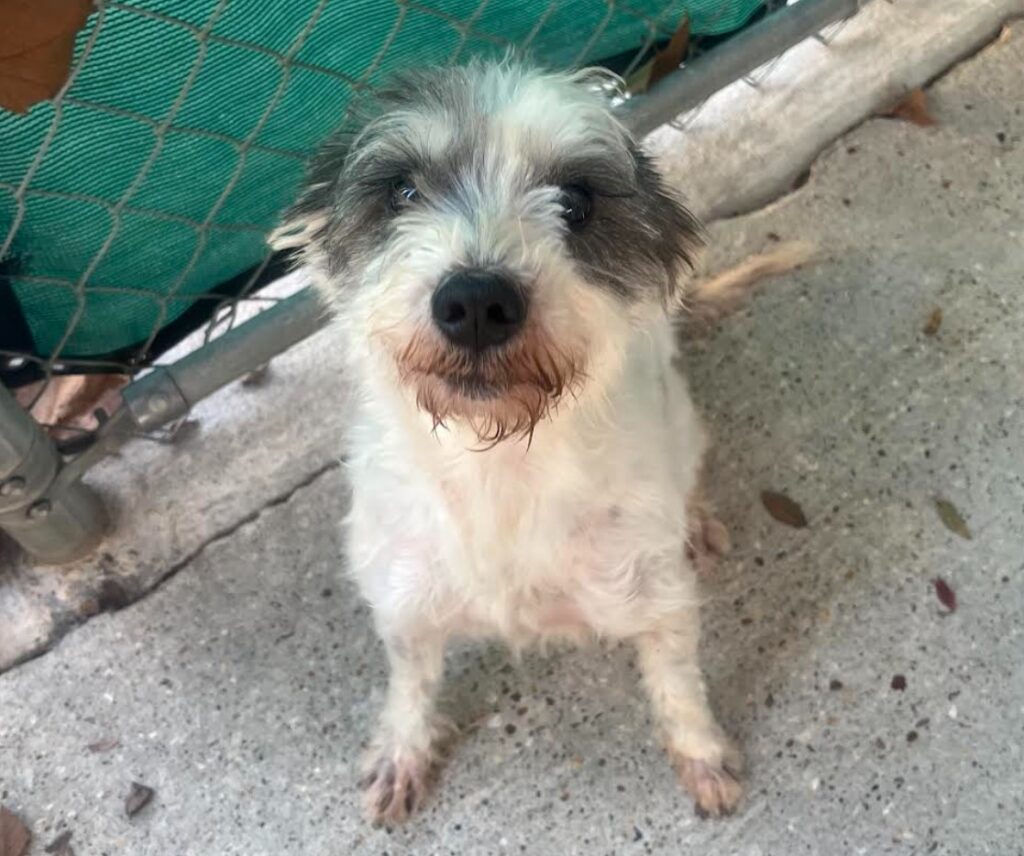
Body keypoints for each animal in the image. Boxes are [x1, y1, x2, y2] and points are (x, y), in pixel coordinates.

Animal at [272, 58, 745, 823]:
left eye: (576, 202)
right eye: (403, 191)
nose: (474, 301)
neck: (497, 472)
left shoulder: (656, 600)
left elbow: (679, 685)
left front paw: (702, 753)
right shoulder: (404, 603)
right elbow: (409, 684)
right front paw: (402, 750)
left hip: (683, 419)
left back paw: (697, 519)